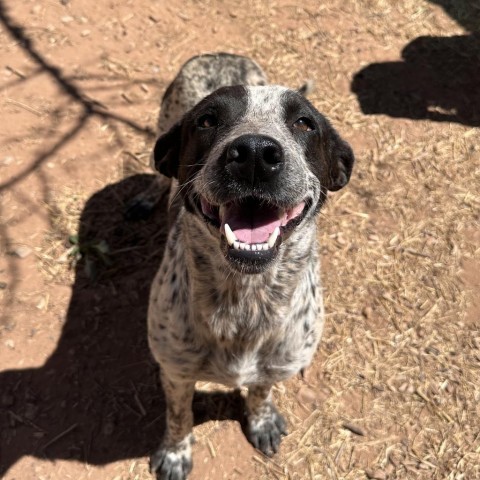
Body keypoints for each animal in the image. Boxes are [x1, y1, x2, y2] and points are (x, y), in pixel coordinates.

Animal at [148, 52, 354, 480]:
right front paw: (175, 452)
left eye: (304, 123)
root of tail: (222, 54)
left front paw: (261, 419)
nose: (256, 153)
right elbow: (179, 416)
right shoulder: (174, 371)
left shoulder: (279, 365)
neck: (247, 298)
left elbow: (260, 390)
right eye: (207, 120)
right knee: (159, 178)